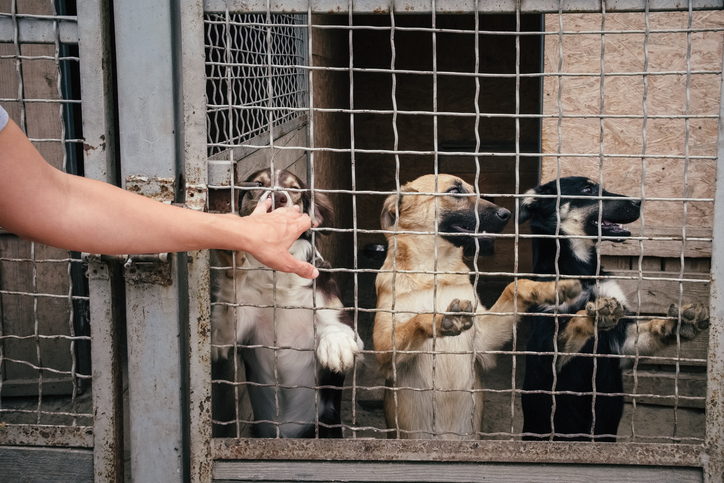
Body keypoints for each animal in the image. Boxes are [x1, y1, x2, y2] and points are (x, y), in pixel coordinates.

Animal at [374, 176, 584, 440]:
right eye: (455, 191)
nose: (507, 213)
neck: (434, 274)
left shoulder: (482, 338)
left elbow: (515, 286)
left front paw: (549, 288)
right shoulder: (383, 351)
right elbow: (416, 321)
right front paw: (440, 318)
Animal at [516, 177, 708, 442]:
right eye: (587, 190)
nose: (639, 201)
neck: (580, 270)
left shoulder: (622, 341)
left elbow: (649, 327)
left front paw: (676, 323)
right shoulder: (546, 351)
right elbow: (573, 322)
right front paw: (595, 314)